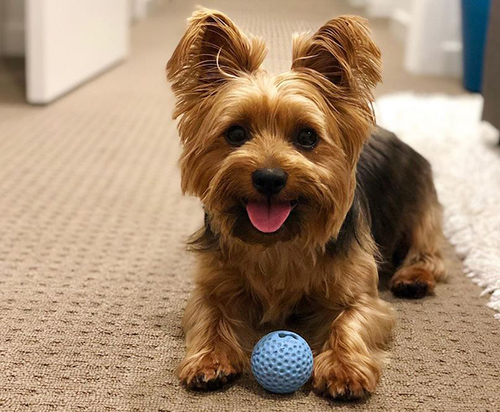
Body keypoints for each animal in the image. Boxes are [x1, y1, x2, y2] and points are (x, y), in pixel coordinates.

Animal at [167, 8, 446, 400]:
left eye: (307, 137)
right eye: (235, 133)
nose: (269, 177)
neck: (279, 242)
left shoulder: (362, 296)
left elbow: (350, 319)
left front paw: (344, 368)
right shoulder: (213, 285)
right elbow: (210, 314)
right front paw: (210, 359)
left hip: (420, 202)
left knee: (429, 250)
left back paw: (414, 277)